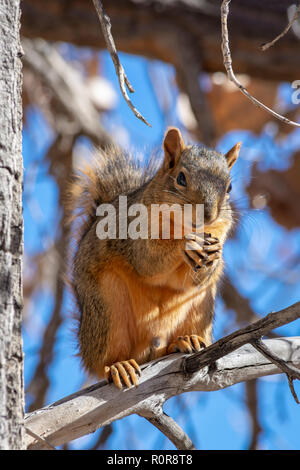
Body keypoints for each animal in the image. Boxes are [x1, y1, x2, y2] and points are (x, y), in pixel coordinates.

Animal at [67, 129, 240, 390]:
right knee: (103, 361)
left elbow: (191, 279)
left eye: (229, 187)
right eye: (181, 179)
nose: (208, 215)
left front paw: (215, 254)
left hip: (201, 307)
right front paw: (184, 244)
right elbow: (147, 262)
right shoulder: (133, 234)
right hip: (106, 312)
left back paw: (184, 341)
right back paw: (118, 366)